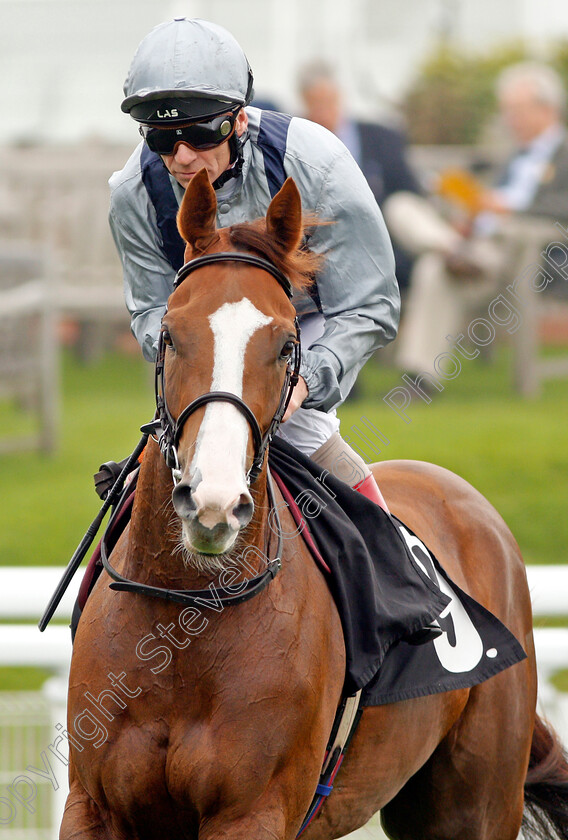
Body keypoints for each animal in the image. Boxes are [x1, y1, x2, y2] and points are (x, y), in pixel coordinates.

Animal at [63, 171, 568, 840]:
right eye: (170, 334)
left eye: (285, 344)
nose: (213, 504)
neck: (185, 618)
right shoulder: (92, 807)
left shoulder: (254, 811)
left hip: (475, 802)